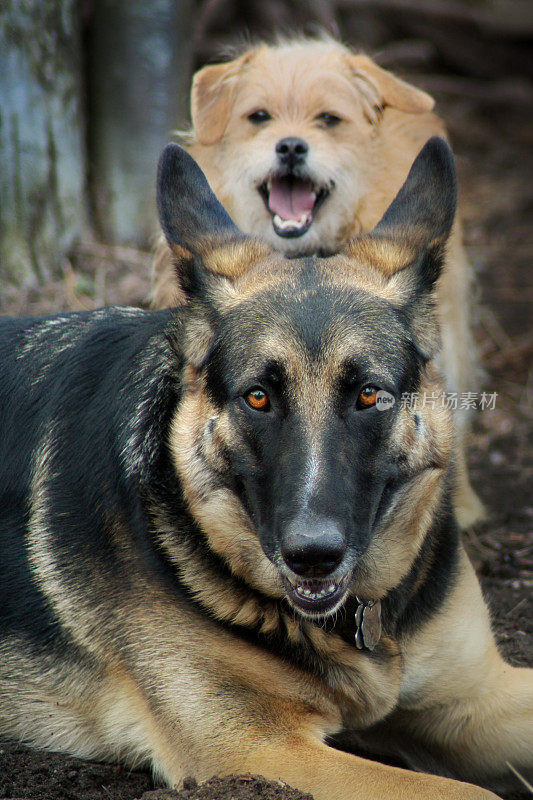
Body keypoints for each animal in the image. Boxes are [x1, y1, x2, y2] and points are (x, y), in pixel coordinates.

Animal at [1, 141, 532, 796]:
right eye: (258, 398)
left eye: (369, 395)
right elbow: (471, 790)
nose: (312, 555)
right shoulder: (264, 748)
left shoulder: (476, 696)